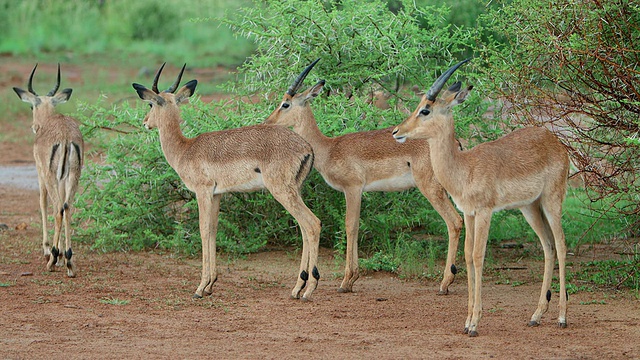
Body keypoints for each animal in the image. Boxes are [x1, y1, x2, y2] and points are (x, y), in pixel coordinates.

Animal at [12, 64, 84, 278]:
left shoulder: (40, 174)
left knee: (59, 209)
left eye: (31, 106)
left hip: (51, 177)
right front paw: (60, 255)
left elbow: (43, 204)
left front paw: (48, 251)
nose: (33, 126)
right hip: (72, 177)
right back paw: (69, 262)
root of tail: (66, 137)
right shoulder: (62, 180)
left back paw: (52, 260)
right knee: (66, 208)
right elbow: (55, 207)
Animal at [133, 64, 322, 298]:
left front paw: (200, 288)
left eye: (151, 103)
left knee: (312, 223)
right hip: (295, 190)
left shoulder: (203, 192)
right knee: (304, 228)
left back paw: (308, 289)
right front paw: (210, 284)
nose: (145, 122)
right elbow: (213, 230)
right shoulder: (217, 194)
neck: (185, 149)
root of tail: (306, 147)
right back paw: (298, 287)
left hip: (282, 191)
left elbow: (203, 229)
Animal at [262, 59, 462, 292]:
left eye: (285, 104)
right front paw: (350, 280)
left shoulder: (353, 188)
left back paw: (445, 282)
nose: (267, 122)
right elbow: (355, 226)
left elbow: (350, 225)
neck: (329, 148)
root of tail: (455, 142)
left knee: (454, 221)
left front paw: (346, 280)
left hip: (430, 187)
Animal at [392, 59, 568, 338]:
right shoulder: (469, 212)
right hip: (530, 208)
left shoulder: (485, 212)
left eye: (425, 110)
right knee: (548, 246)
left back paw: (562, 318)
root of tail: (557, 143)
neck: (465, 168)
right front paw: (466, 322)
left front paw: (475, 323)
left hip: (552, 201)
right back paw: (536, 316)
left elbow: (477, 256)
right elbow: (466, 255)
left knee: (561, 245)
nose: (397, 131)